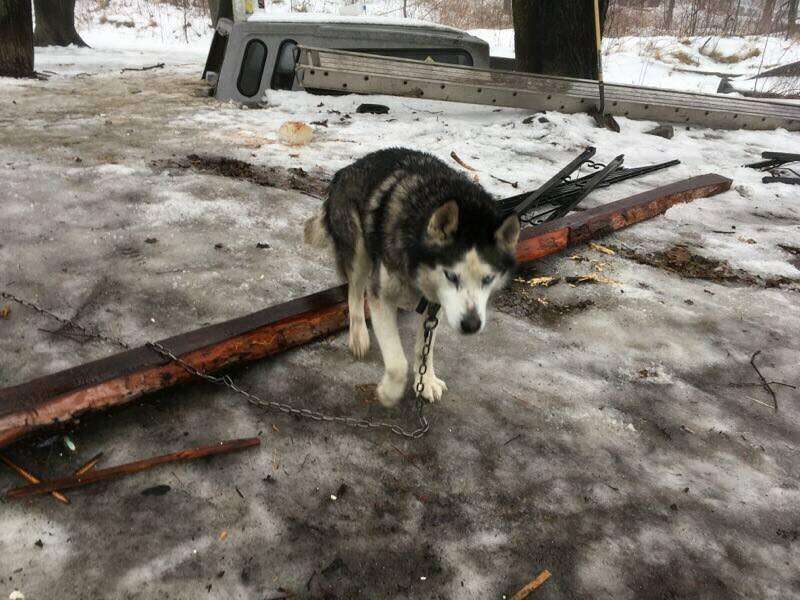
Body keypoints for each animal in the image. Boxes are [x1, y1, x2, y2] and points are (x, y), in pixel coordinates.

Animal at [304, 148, 520, 406]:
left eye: (488, 279)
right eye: (451, 276)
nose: (471, 325)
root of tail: (347, 169)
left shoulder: (436, 304)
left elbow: (424, 347)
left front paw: (425, 381)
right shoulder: (381, 296)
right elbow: (397, 363)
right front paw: (389, 393)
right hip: (358, 250)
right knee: (354, 291)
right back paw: (358, 336)